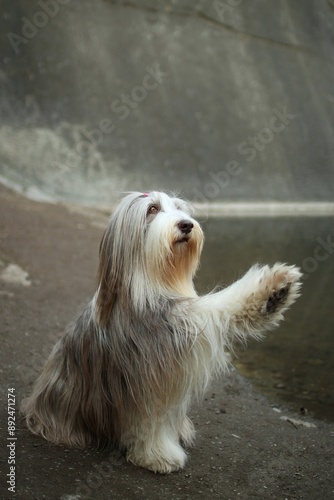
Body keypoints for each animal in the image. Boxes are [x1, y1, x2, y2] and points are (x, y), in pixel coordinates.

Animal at [21, 190, 302, 472]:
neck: (152, 282)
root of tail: (35, 406)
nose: (186, 225)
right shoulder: (158, 352)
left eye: (179, 208)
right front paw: (157, 455)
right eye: (152, 209)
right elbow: (216, 307)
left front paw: (276, 294)